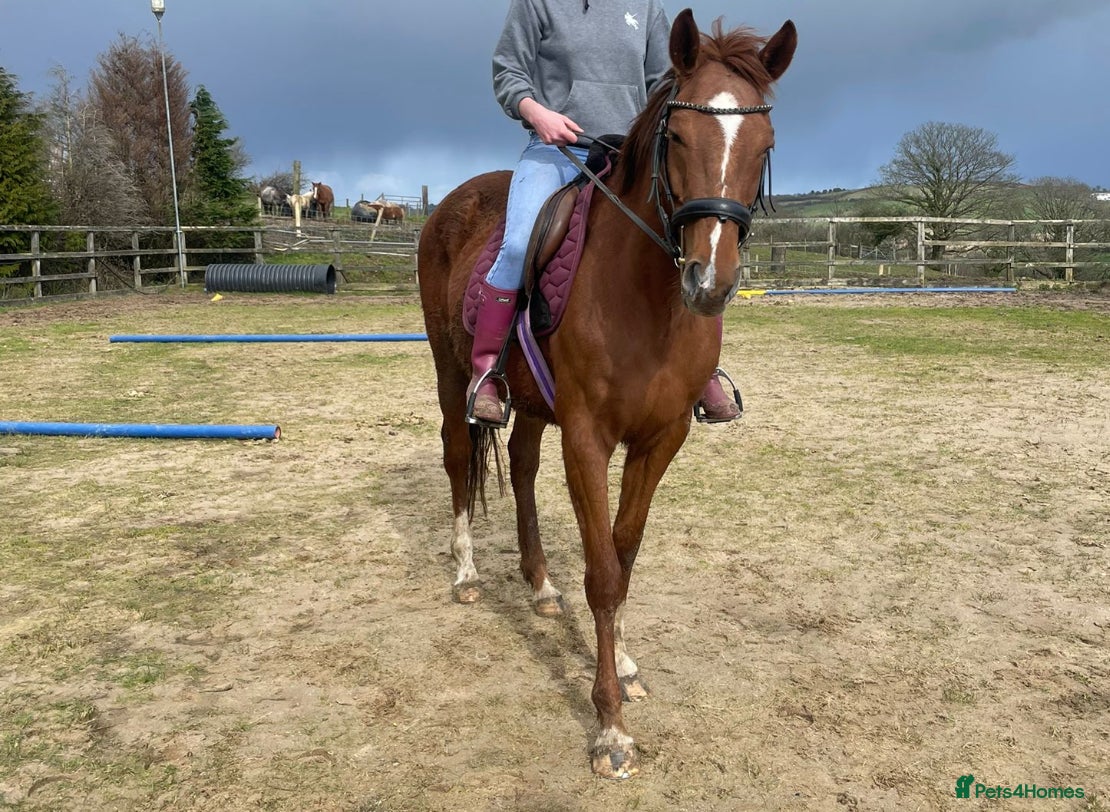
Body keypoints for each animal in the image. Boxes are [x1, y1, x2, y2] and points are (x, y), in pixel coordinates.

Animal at [417, 9, 796, 779]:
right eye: (676, 138)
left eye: (765, 144)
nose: (710, 281)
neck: (645, 299)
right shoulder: (589, 438)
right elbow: (601, 572)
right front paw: (610, 728)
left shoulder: (661, 439)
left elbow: (625, 556)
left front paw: (620, 663)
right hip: (451, 376)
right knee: (456, 456)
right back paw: (466, 573)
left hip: (533, 403)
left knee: (522, 467)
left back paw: (539, 586)